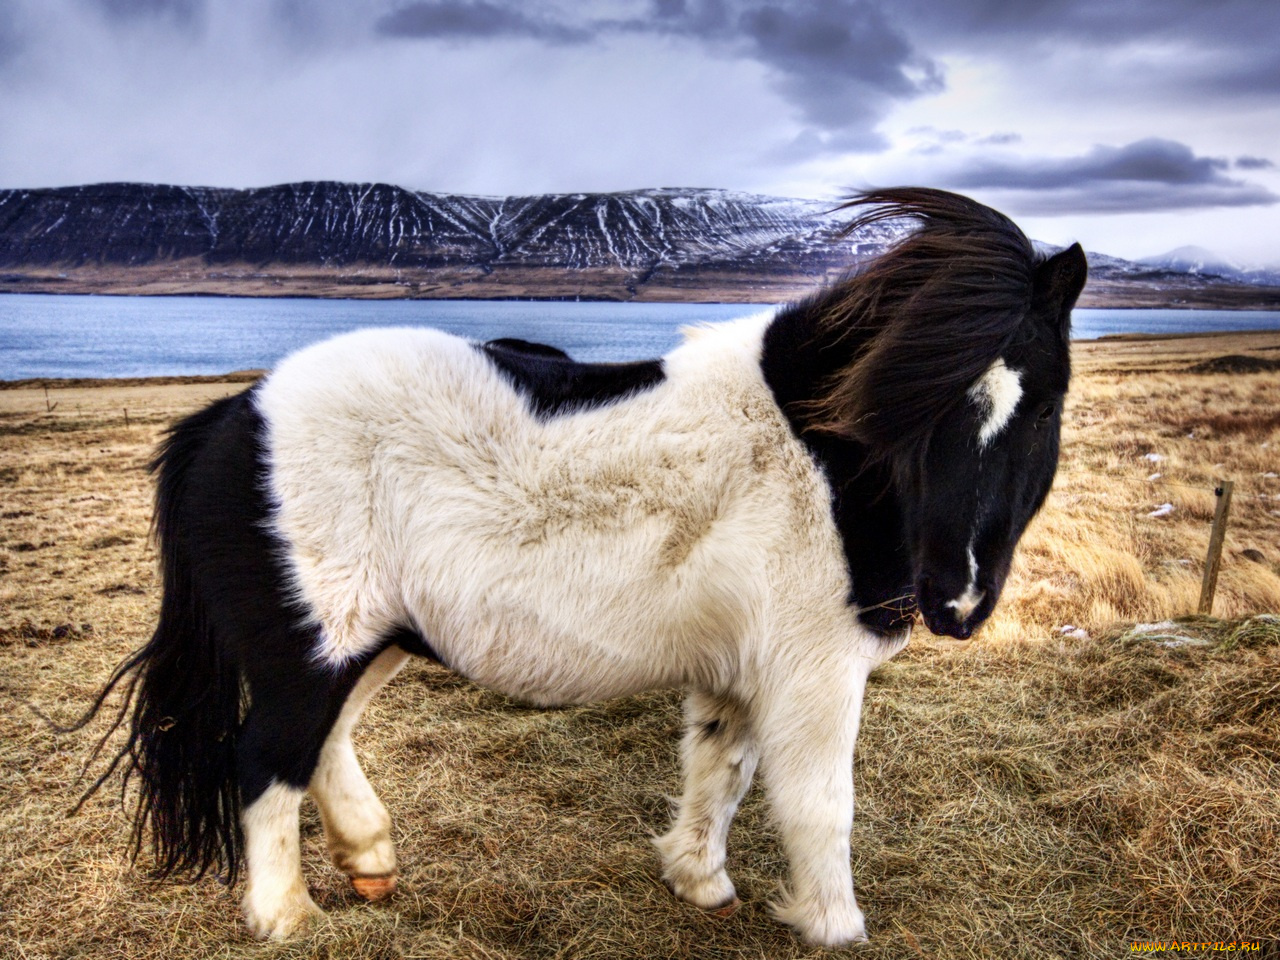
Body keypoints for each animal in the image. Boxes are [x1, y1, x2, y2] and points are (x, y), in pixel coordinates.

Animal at [77, 188, 1080, 947]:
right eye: (915, 401)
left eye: (1043, 406)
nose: (957, 601)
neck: (820, 462)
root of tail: (233, 418)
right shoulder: (815, 673)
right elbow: (819, 805)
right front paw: (833, 927)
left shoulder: (740, 671)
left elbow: (722, 770)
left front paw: (698, 881)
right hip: (311, 652)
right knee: (266, 761)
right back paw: (286, 918)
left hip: (367, 642)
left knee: (322, 742)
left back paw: (369, 858)